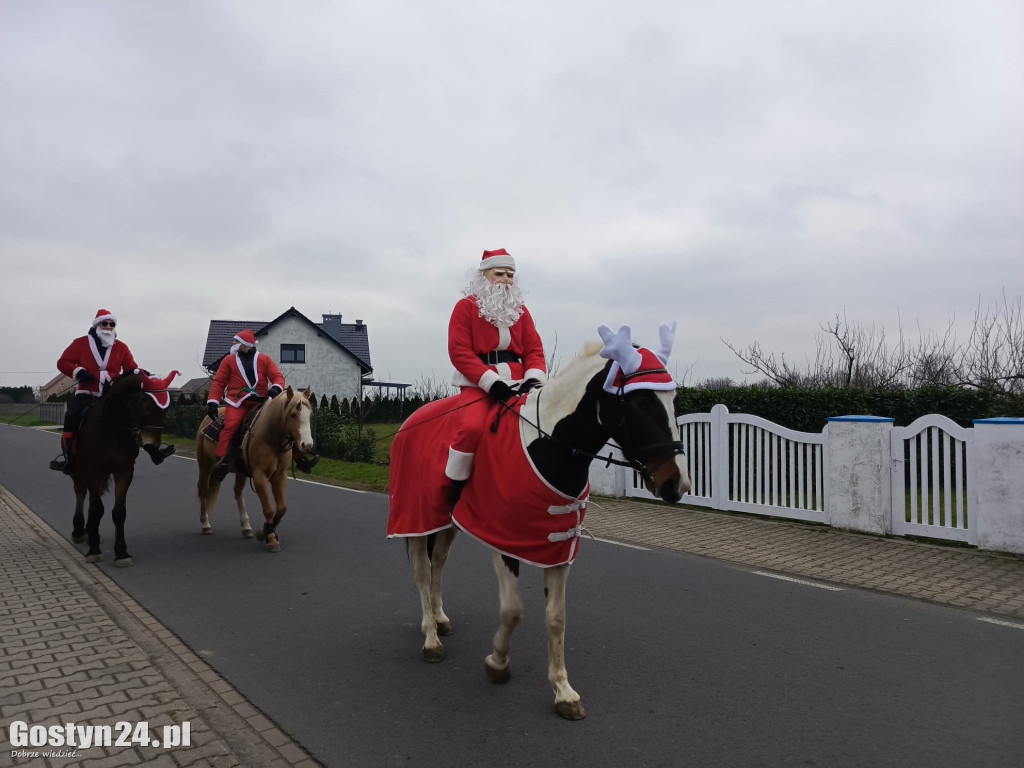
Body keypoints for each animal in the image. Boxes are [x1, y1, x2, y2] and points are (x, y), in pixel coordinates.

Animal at [70, 370, 178, 569]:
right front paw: (94, 550)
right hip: (79, 472)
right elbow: (97, 509)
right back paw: (80, 530)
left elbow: (119, 512)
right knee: (80, 493)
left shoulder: (124, 471)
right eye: (140, 402)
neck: (111, 428)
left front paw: (121, 552)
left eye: (166, 408)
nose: (152, 443)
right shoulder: (92, 470)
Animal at [193, 387, 313, 548]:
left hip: (239, 470)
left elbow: (281, 508)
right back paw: (205, 524)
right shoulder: (259, 476)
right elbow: (268, 509)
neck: (270, 437)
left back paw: (246, 526)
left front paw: (266, 531)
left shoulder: (279, 475)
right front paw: (270, 537)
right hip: (205, 464)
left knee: (238, 493)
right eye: (293, 414)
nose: (307, 444)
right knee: (203, 489)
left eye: (310, 414)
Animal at [387, 323, 692, 720]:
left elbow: (556, 617)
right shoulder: (504, 542)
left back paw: (439, 618)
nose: (677, 483)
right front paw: (498, 663)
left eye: (675, 401)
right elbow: (513, 610)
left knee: (438, 562)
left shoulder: (558, 549)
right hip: (417, 518)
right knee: (423, 572)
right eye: (640, 402)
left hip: (447, 523)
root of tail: (410, 421)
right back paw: (431, 638)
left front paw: (563, 691)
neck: (548, 445)